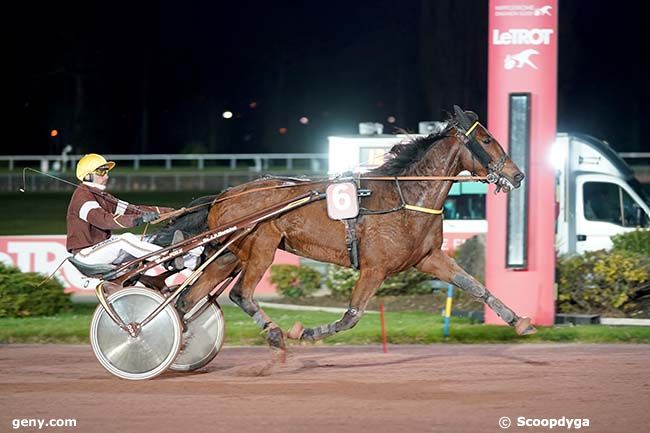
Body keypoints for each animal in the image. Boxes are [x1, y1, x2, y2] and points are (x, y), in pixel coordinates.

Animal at [165, 106, 536, 360]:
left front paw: (519, 321)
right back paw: (274, 334)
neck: (406, 196)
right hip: (261, 248)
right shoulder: (375, 268)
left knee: (188, 299)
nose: (517, 175)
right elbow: (351, 316)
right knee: (241, 294)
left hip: (227, 255)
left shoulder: (428, 258)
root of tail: (223, 196)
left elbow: (475, 286)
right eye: (486, 139)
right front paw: (306, 331)